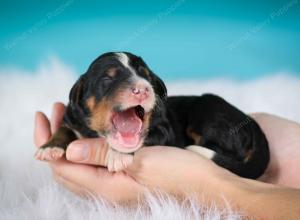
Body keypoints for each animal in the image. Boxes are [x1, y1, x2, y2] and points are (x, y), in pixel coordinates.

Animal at [35, 52, 270, 179]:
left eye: (147, 77)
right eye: (107, 79)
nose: (143, 89)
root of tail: (252, 124)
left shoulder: (164, 129)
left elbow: (142, 139)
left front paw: (118, 155)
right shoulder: (72, 118)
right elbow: (64, 128)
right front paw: (50, 147)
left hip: (208, 108)